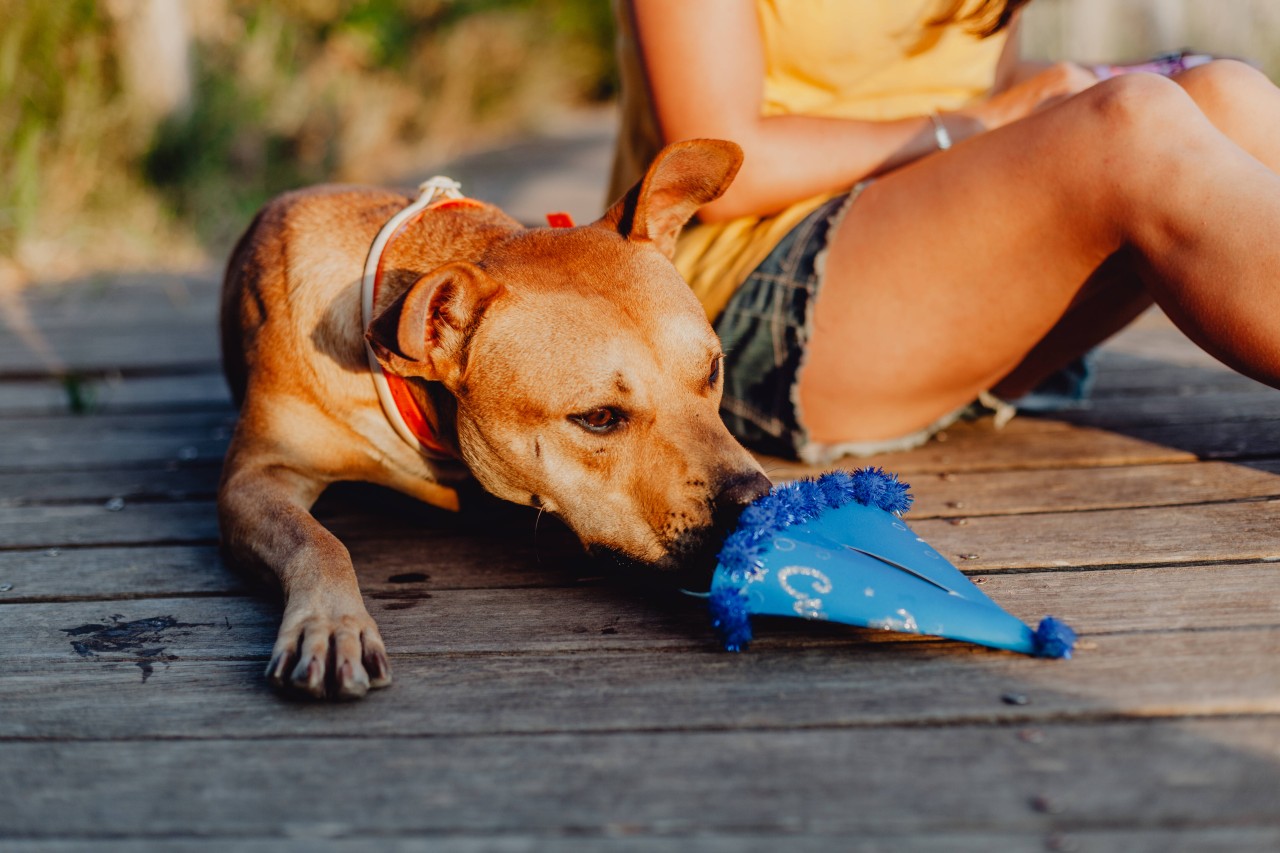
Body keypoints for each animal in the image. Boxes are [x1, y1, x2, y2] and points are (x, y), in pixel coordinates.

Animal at [217, 137, 768, 696]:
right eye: (598, 417)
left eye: (713, 370)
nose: (753, 500)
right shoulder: (255, 477)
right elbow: (318, 541)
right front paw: (331, 624)